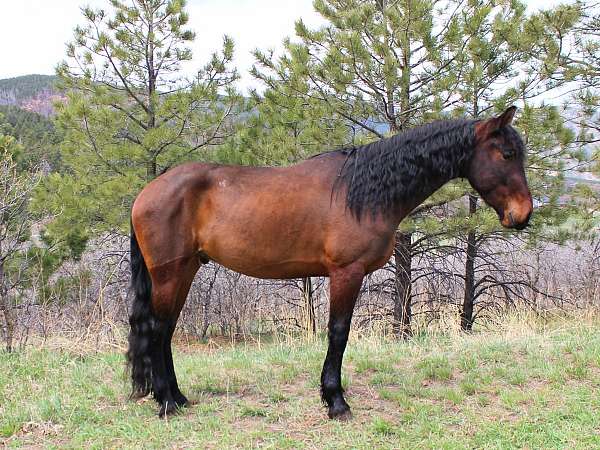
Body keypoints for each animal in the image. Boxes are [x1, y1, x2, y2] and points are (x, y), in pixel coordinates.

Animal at [127, 106, 536, 418]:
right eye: (506, 154)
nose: (523, 215)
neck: (363, 192)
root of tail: (148, 191)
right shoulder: (346, 273)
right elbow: (338, 333)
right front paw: (336, 400)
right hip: (171, 273)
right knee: (157, 330)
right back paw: (166, 403)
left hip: (186, 270)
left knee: (165, 331)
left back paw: (177, 397)